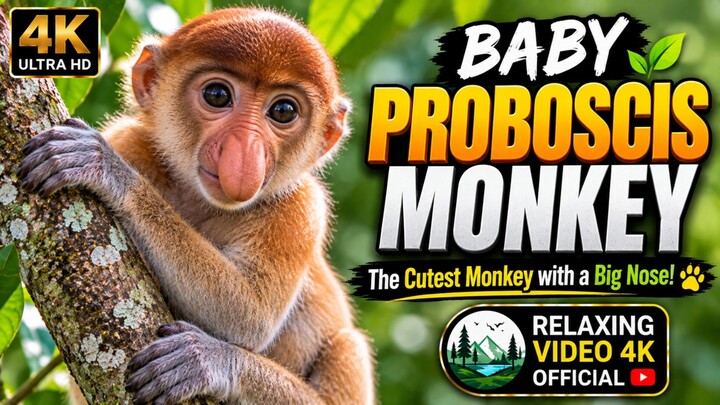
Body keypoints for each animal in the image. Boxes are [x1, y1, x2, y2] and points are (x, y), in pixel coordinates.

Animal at [17, 7, 375, 405]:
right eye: (217, 95)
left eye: (283, 110)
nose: (244, 153)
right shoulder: (128, 140)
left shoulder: (301, 209)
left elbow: (249, 316)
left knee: (347, 344)